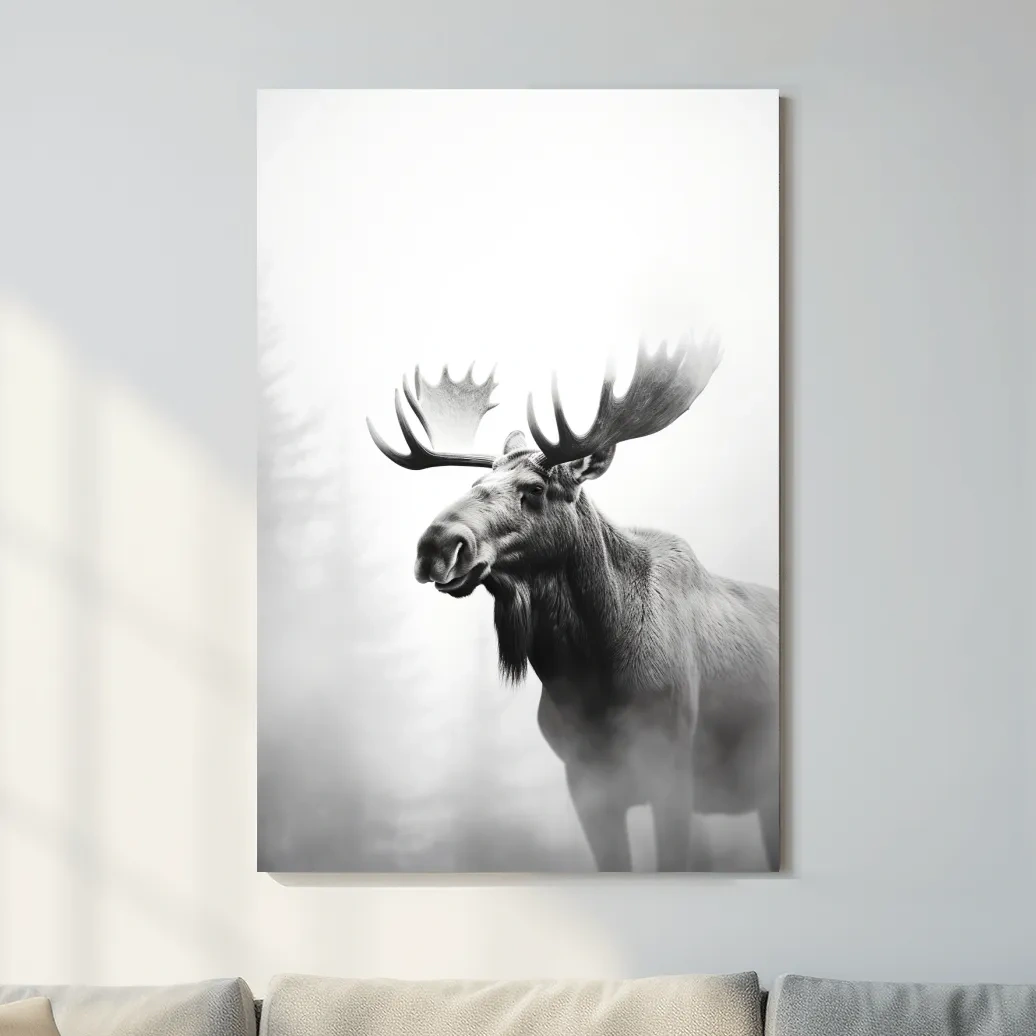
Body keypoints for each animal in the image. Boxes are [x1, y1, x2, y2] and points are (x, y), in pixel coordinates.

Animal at [366, 342, 779, 872]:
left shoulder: (672, 772)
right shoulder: (586, 783)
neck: (591, 675)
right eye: (475, 485)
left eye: (535, 489)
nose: (436, 544)